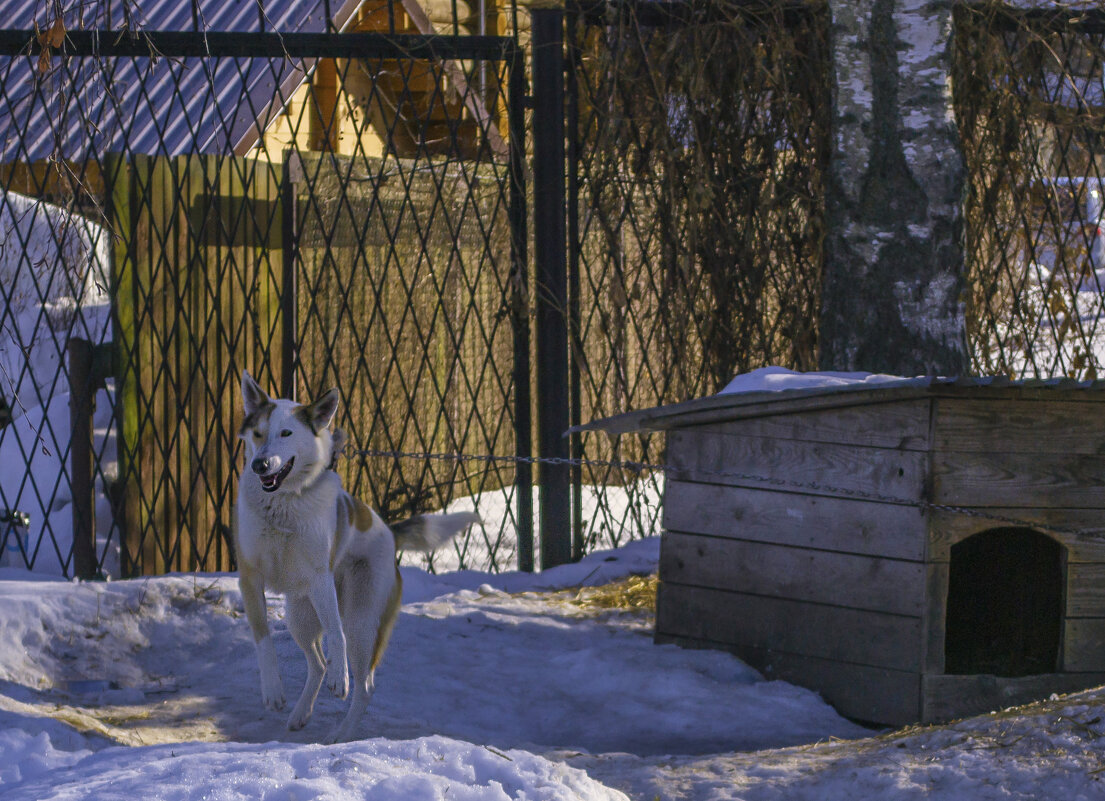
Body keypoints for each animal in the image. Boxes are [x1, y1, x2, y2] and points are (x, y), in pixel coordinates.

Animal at [233, 371, 479, 742]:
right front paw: (273, 689)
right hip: (299, 615)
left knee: (363, 683)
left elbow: (336, 633)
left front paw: (341, 678)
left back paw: (343, 732)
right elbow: (263, 638)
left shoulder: (320, 578)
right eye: (258, 433)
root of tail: (389, 532)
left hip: (361, 621)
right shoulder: (250, 577)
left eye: (286, 433)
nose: (260, 464)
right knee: (317, 664)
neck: (283, 504)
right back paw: (301, 714)